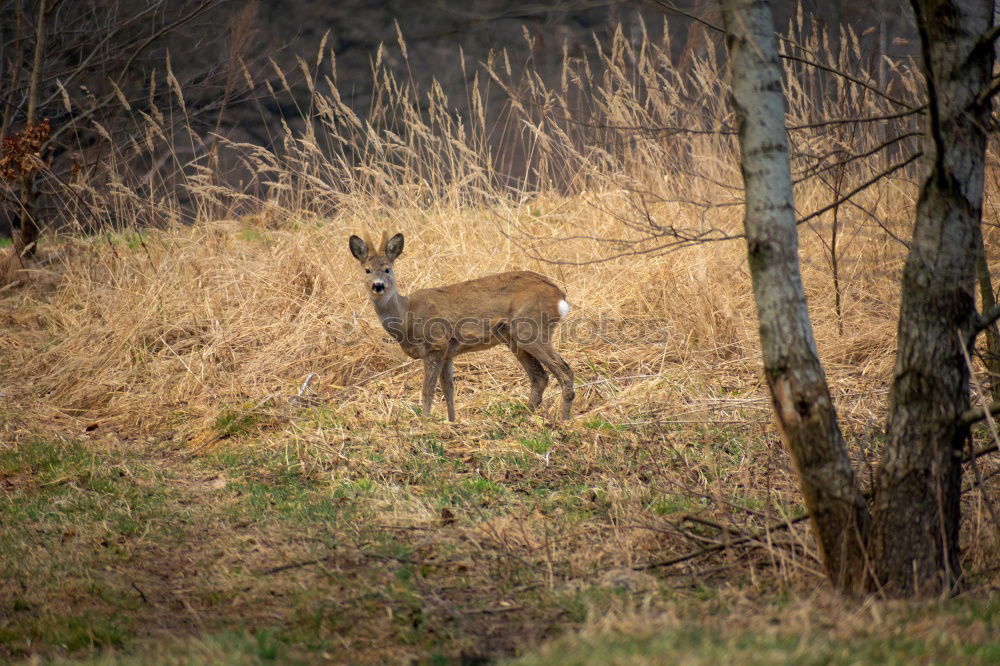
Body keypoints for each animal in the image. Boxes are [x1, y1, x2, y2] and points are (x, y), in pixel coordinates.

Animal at [348, 232, 576, 420]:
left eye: (388, 269)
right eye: (367, 270)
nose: (378, 285)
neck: (407, 315)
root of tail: (559, 296)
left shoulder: (436, 343)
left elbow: (428, 390)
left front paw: (425, 421)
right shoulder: (448, 352)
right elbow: (448, 390)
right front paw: (451, 421)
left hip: (531, 329)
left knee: (564, 370)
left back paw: (563, 420)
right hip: (513, 338)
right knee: (540, 377)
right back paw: (522, 417)